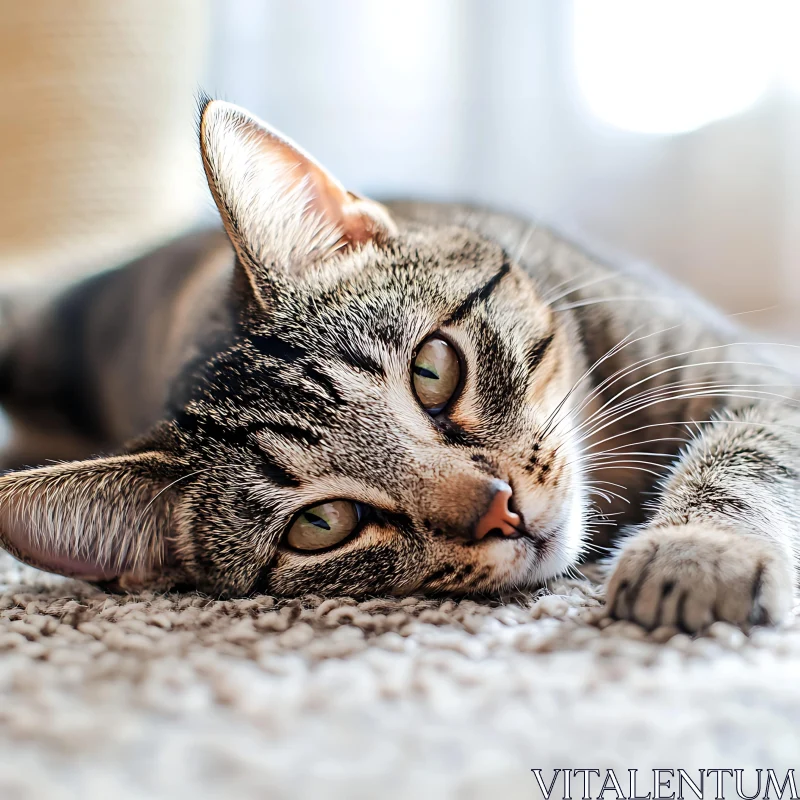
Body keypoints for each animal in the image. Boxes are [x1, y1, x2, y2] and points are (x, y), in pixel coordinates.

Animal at [0, 97, 796, 632]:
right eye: (323, 524)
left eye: (432, 371)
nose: (501, 508)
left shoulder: (752, 377)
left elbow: (743, 457)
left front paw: (694, 550)